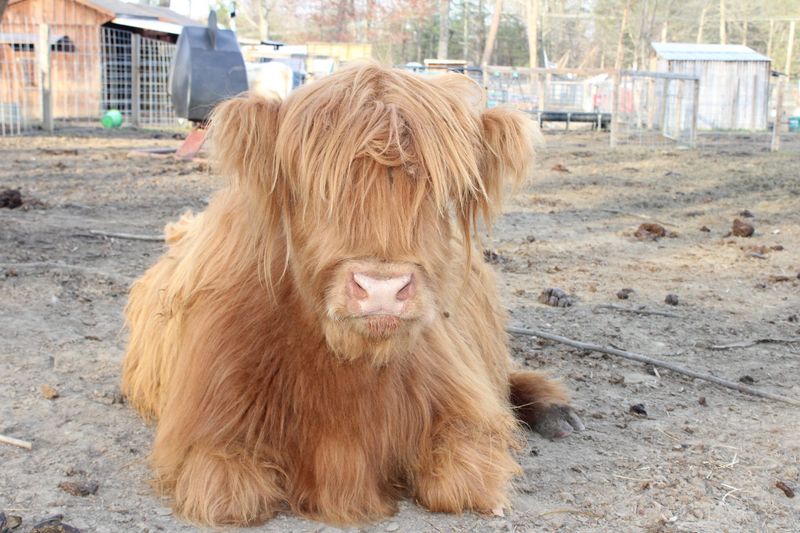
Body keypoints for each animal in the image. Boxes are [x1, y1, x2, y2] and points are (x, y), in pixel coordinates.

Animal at [122, 63, 583, 527]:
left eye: (438, 193)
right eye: (314, 192)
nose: (382, 289)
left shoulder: (463, 404)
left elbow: (464, 479)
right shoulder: (208, 433)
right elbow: (229, 494)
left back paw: (557, 413)